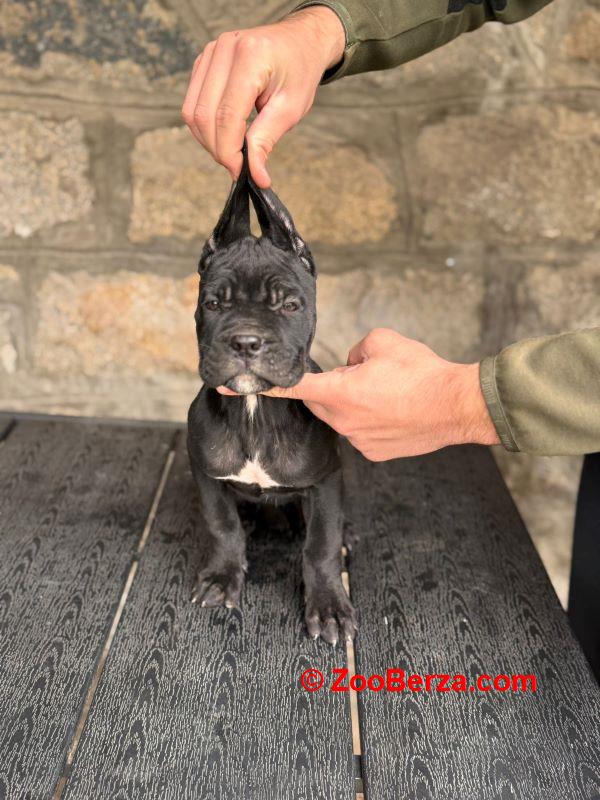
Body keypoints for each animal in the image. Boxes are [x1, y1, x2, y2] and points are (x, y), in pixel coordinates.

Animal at [188, 147, 356, 644]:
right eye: (213, 304)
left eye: (289, 305)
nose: (246, 342)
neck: (254, 408)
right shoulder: (207, 475)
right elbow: (222, 526)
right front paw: (222, 577)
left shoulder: (326, 482)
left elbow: (320, 545)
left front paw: (328, 605)